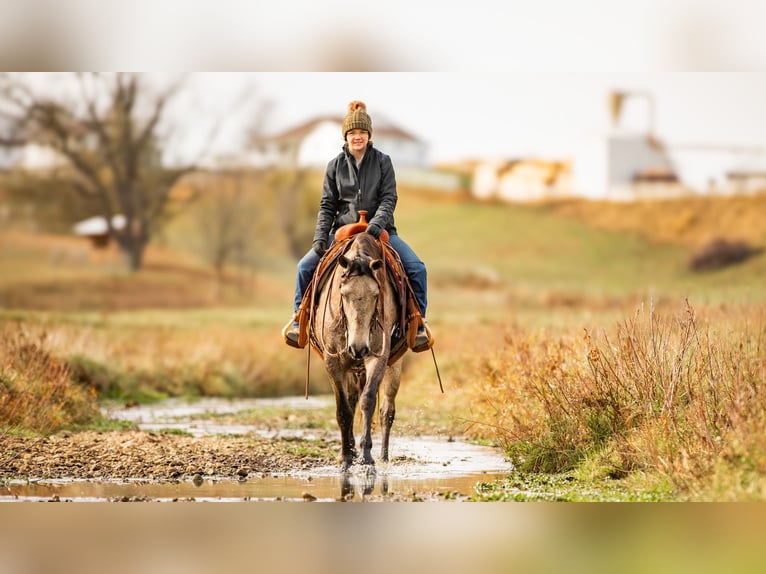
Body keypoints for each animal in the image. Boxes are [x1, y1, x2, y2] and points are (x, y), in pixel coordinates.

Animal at [312, 233, 404, 472]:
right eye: (343, 293)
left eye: (376, 294)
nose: (359, 347)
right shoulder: (333, 361)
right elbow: (344, 409)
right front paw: (346, 457)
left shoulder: (378, 357)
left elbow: (368, 401)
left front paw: (366, 455)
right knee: (352, 401)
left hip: (394, 367)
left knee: (386, 411)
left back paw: (383, 457)